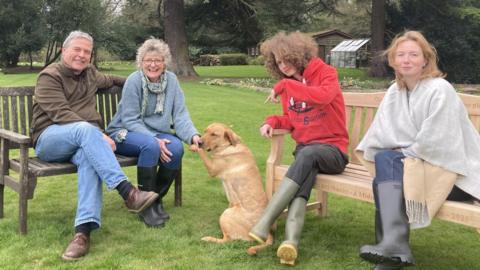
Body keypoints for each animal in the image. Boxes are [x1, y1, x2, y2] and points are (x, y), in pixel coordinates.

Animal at [192, 123, 274, 254]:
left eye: (214, 134)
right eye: (205, 131)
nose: (199, 142)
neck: (229, 146)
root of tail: (268, 231)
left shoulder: (212, 168)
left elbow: (203, 154)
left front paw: (194, 147)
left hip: (226, 214)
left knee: (227, 239)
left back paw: (208, 238)